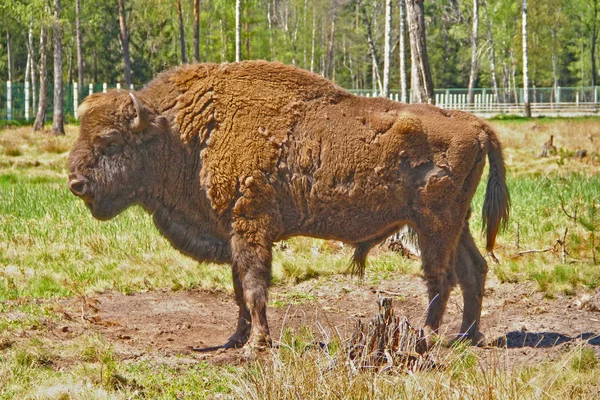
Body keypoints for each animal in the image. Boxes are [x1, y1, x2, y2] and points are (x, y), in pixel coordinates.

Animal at [70, 60, 510, 350]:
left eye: (110, 141)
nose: (76, 183)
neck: (183, 131)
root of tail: (477, 125)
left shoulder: (250, 224)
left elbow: (253, 287)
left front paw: (257, 345)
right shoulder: (234, 234)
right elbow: (239, 289)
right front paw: (236, 339)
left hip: (433, 224)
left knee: (441, 278)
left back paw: (426, 338)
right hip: (456, 224)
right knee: (473, 270)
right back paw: (467, 336)